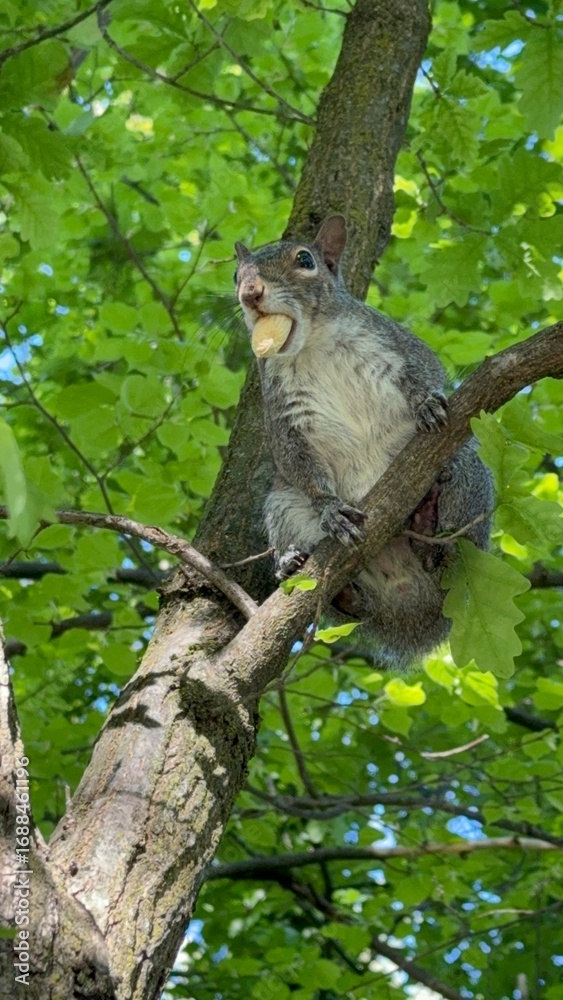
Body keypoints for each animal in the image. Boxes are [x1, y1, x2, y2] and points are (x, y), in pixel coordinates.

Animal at [234, 215, 493, 669]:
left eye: (305, 259)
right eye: (236, 276)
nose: (250, 293)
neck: (313, 344)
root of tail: (412, 604)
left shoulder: (396, 342)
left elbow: (426, 371)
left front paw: (426, 404)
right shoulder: (283, 414)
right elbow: (296, 461)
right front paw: (332, 511)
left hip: (465, 478)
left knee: (446, 555)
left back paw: (428, 525)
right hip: (284, 506)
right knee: (353, 603)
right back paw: (306, 570)